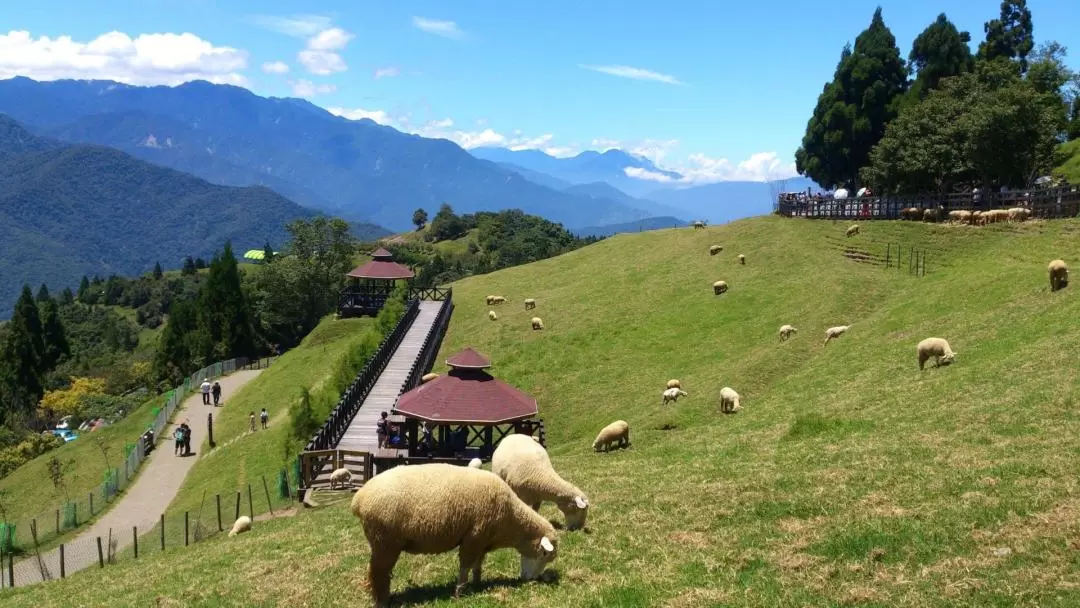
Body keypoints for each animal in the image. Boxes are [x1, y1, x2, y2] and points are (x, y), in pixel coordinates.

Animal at [352, 464, 561, 604]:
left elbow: (477, 564)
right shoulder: (473, 537)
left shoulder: (483, 540)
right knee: (378, 572)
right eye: (544, 554)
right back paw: (382, 601)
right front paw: (460, 592)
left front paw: (477, 583)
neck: (511, 520)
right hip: (385, 542)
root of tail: (359, 499)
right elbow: (465, 565)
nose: (530, 580)